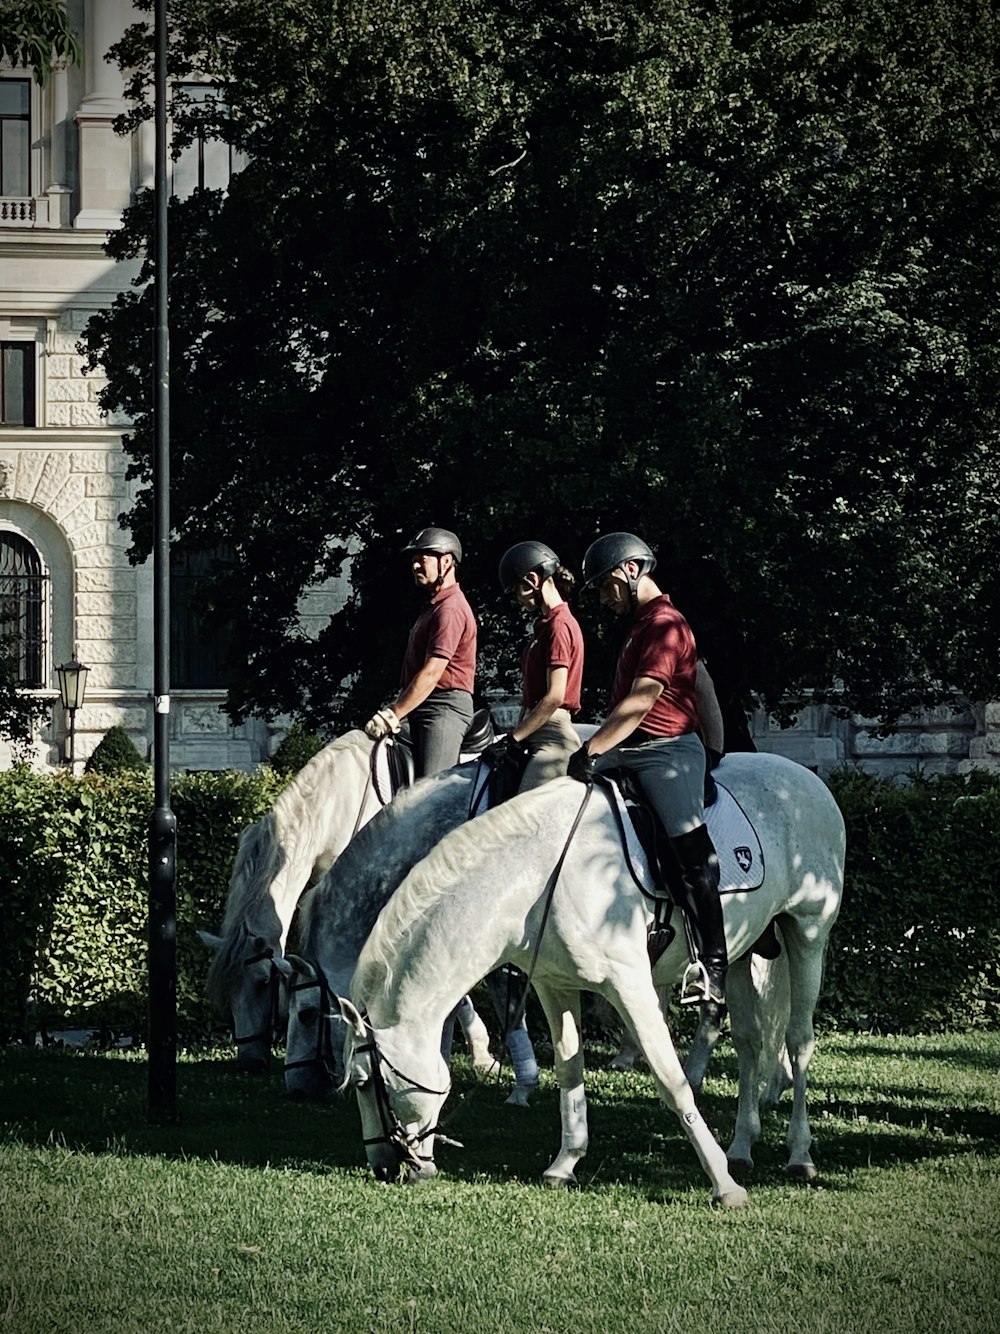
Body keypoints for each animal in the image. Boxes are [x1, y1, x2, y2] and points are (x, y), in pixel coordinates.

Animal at [338, 757, 848, 1205]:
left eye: (364, 1083)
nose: (383, 1167)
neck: (537, 878)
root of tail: (806, 777)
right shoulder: (554, 985)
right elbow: (570, 1069)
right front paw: (565, 1163)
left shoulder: (630, 986)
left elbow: (671, 1081)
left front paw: (724, 1186)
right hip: (742, 953)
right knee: (749, 1041)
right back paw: (741, 1147)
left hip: (808, 933)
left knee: (799, 1041)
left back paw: (799, 1155)